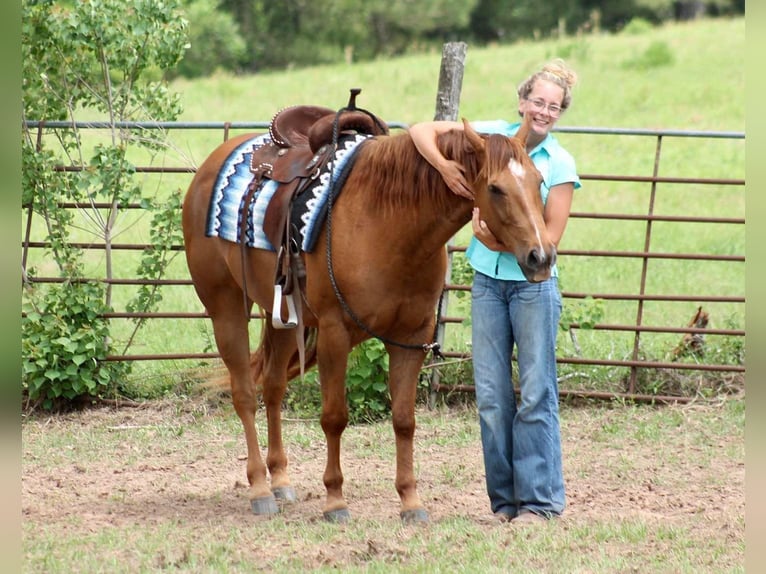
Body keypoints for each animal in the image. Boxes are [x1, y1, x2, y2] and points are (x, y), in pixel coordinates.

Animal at [183, 108, 556, 528]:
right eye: (495, 188)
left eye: (539, 181)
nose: (541, 257)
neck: (389, 223)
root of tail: (210, 166)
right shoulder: (334, 334)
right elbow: (334, 417)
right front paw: (335, 500)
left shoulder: (412, 338)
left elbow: (404, 420)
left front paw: (410, 502)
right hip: (226, 307)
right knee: (245, 394)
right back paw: (261, 489)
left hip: (283, 317)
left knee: (274, 388)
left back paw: (280, 480)